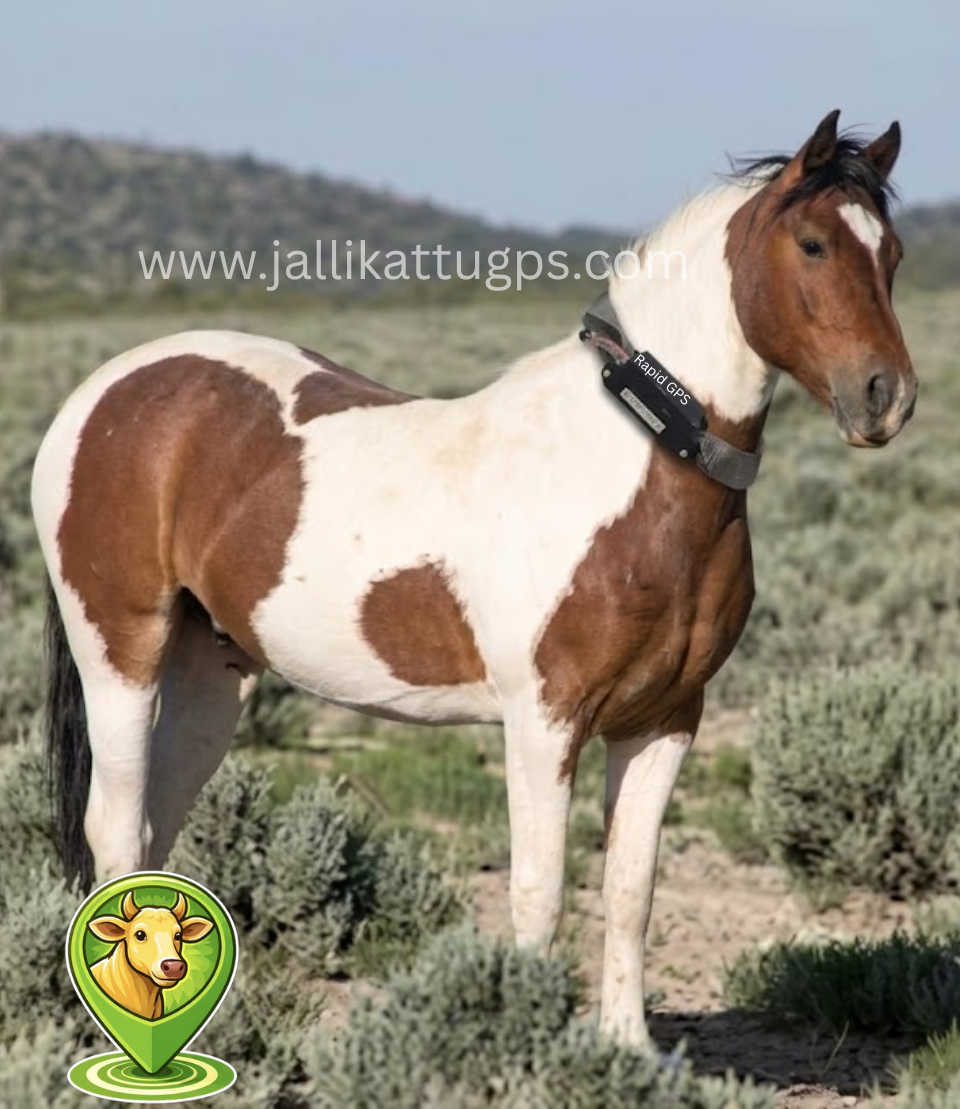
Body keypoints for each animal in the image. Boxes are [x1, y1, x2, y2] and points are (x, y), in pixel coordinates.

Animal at [32, 109, 916, 1048]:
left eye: (892, 253)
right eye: (813, 244)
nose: (884, 397)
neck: (630, 468)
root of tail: (104, 391)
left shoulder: (667, 719)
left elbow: (630, 891)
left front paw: (629, 1051)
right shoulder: (543, 722)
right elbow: (540, 893)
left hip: (211, 676)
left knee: (156, 829)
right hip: (121, 653)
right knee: (116, 828)